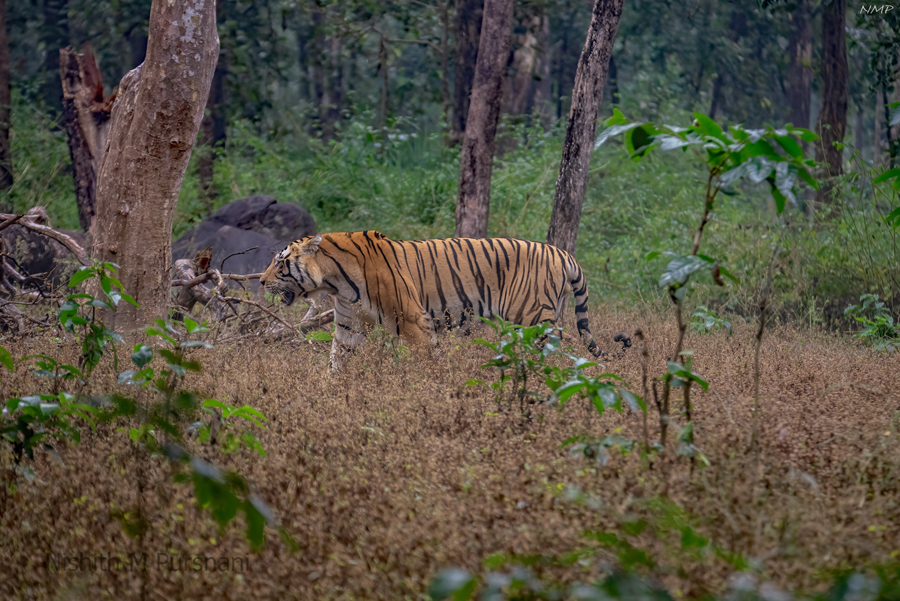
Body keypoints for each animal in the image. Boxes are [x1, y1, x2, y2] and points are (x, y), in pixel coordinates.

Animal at [260, 231, 627, 369]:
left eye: (280, 262)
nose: (261, 282)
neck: (335, 282)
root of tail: (564, 253)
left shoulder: (412, 319)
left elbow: (428, 358)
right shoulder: (350, 326)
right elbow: (337, 362)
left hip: (535, 320)